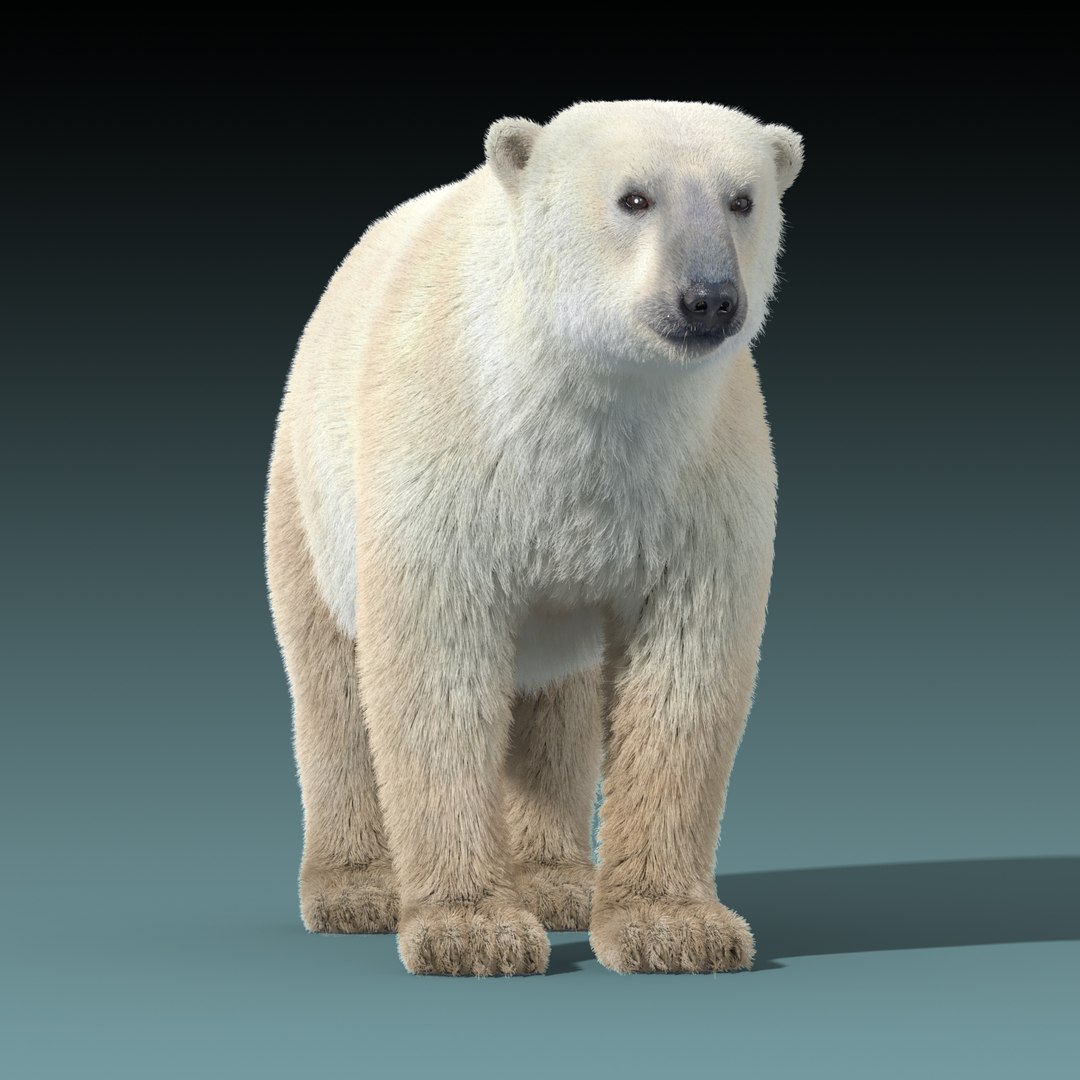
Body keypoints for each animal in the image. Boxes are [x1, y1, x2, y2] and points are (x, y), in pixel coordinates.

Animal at [264, 99, 803, 976]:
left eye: (742, 199)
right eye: (634, 198)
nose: (710, 299)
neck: (581, 396)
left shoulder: (695, 479)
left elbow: (682, 677)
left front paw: (676, 927)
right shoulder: (449, 455)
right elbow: (437, 674)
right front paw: (470, 931)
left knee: (559, 699)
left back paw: (559, 882)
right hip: (307, 491)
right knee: (333, 681)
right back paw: (358, 889)